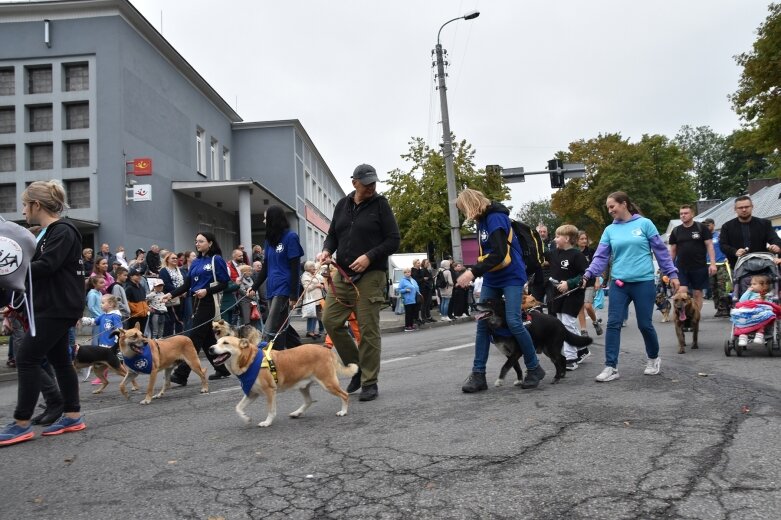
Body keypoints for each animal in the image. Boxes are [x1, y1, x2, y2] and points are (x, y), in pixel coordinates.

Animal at [206, 338, 354, 426]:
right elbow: (238, 407)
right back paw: (297, 413)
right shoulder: (252, 393)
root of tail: (327, 350)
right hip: (303, 385)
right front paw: (245, 418)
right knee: (308, 401)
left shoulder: (270, 391)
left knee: (345, 395)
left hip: (327, 383)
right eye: (217, 341)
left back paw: (343, 412)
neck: (249, 361)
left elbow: (271, 410)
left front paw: (267, 422)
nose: (210, 348)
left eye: (225, 343)